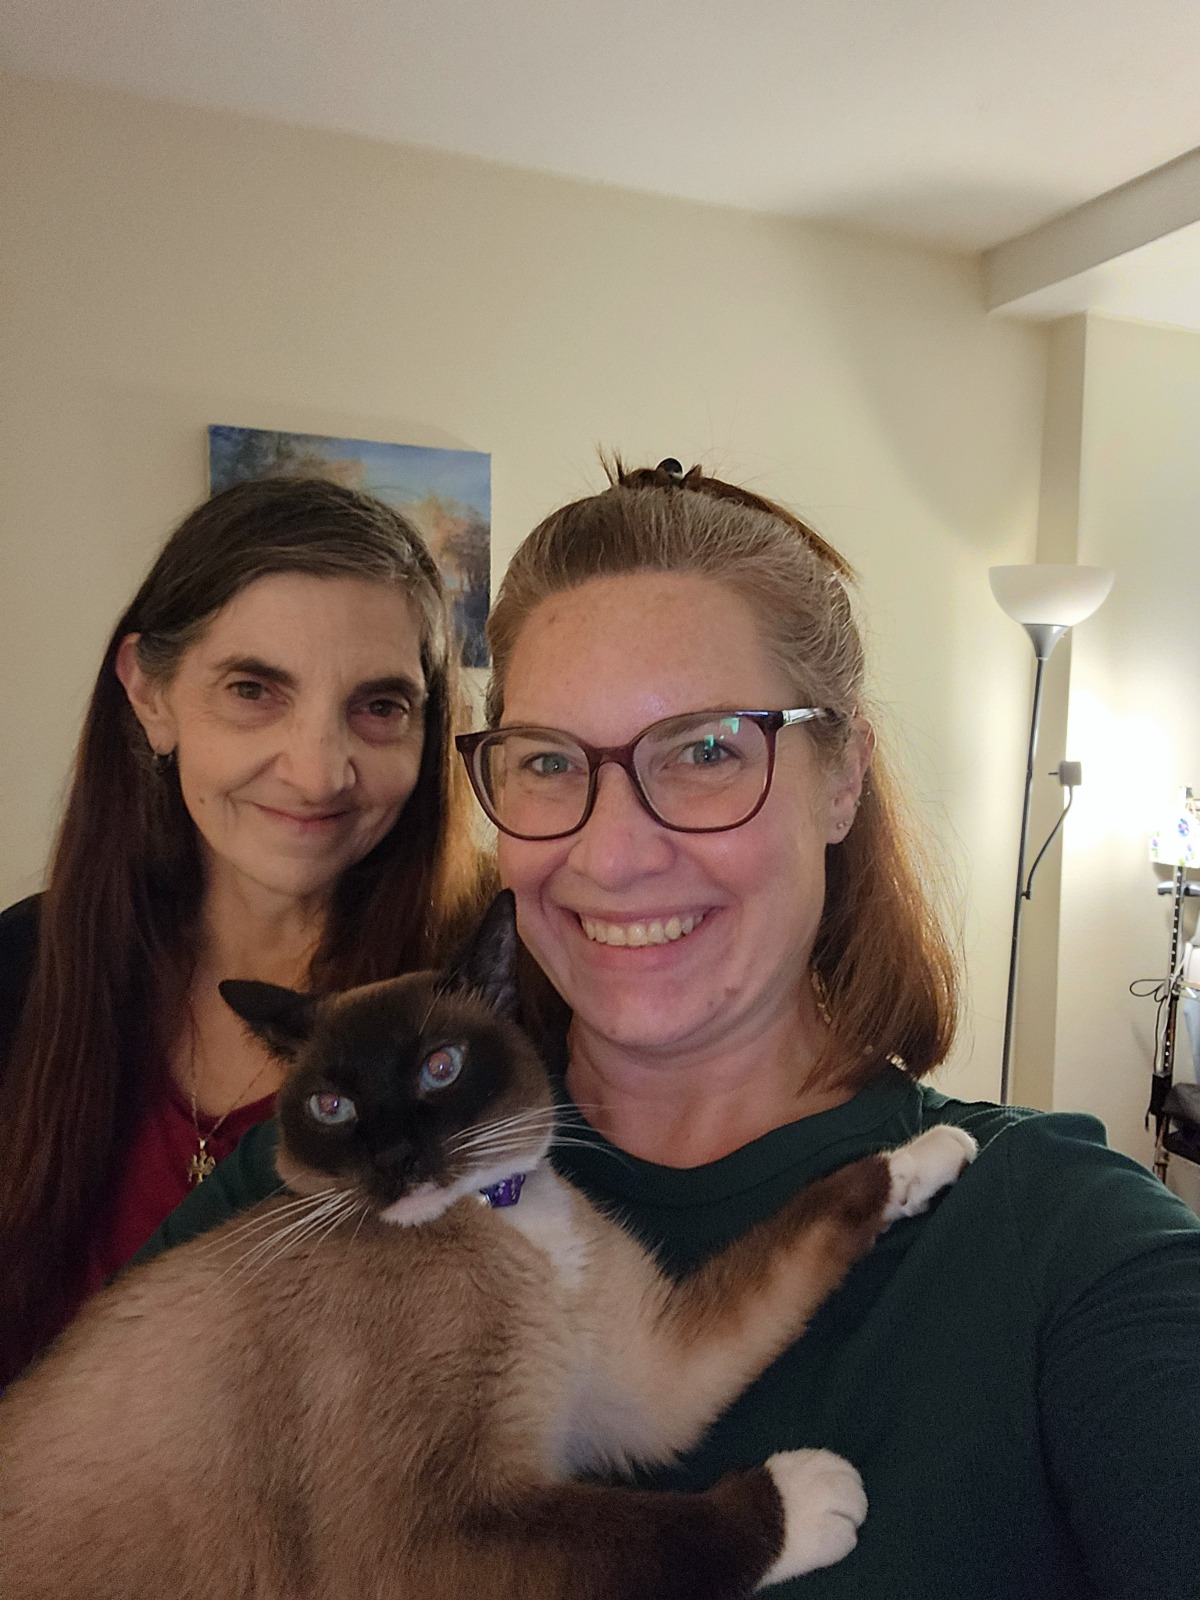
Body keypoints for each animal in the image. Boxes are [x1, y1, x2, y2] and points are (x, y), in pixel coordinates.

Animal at [0, 896, 972, 1593]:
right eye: (332, 1108)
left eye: (441, 1069)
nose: (395, 1159)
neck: (501, 1216)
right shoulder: (425, 1542)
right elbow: (652, 1537)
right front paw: (816, 1498)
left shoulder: (652, 1385)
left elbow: (816, 1219)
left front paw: (930, 1154)